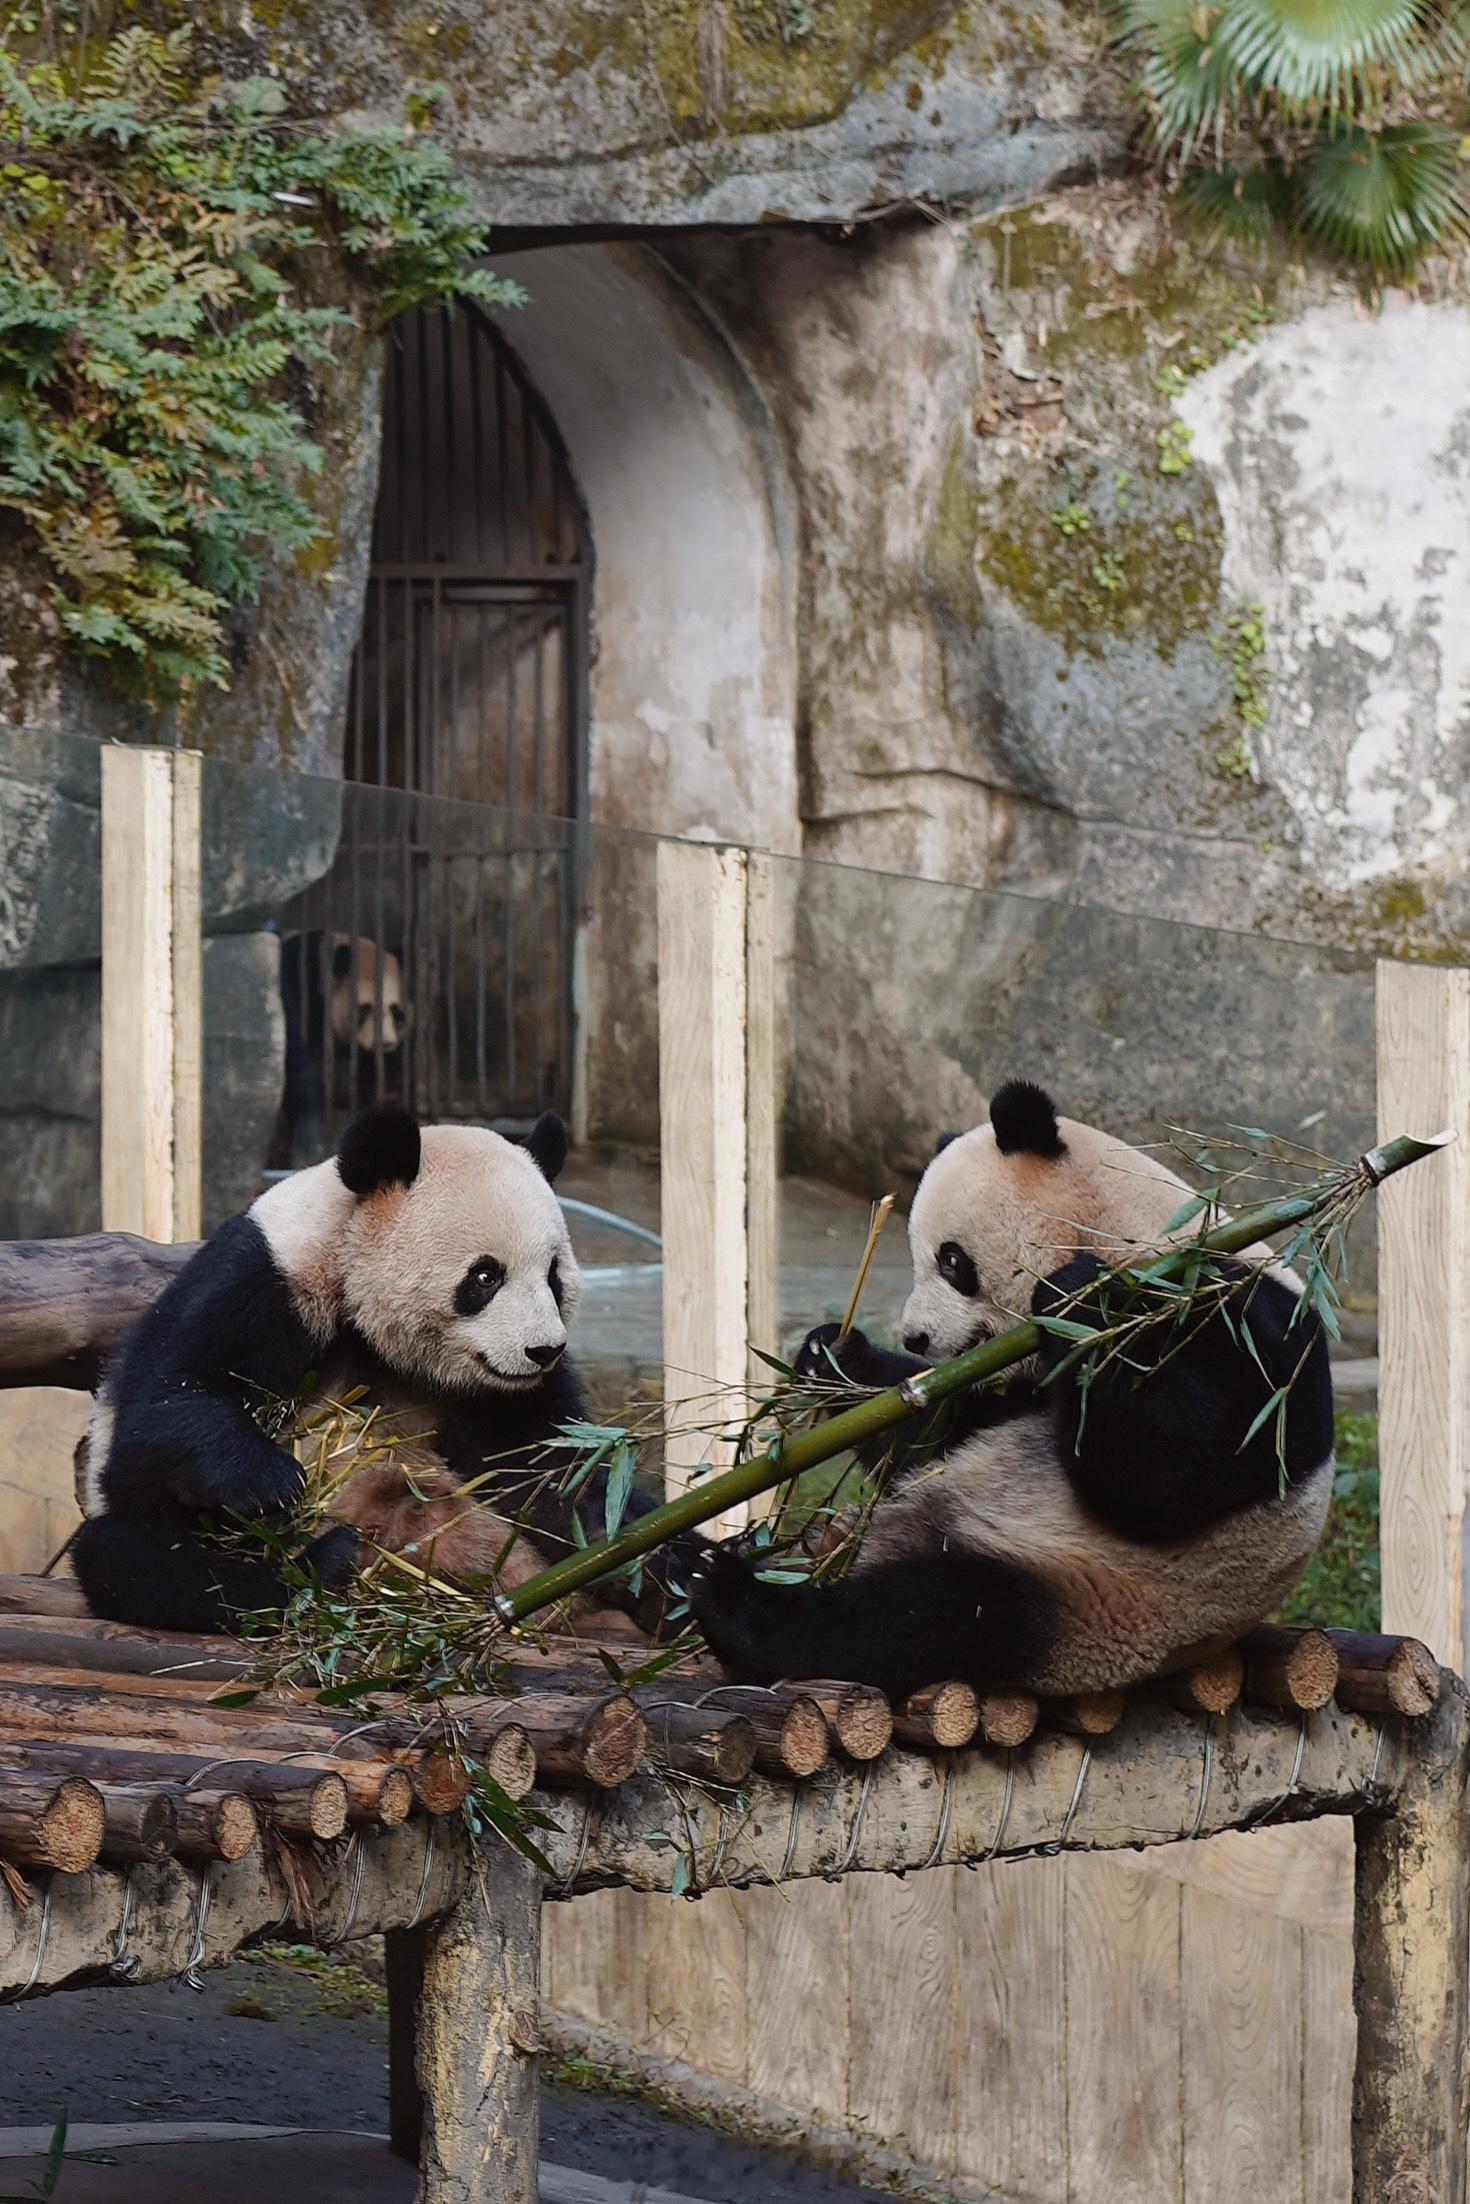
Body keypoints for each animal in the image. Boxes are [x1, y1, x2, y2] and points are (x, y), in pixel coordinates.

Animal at [71, 1102, 656, 1639]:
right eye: (485, 1276)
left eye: (553, 1275)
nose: (544, 1351)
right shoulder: (266, 1281)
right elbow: (163, 1411)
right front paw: (272, 1480)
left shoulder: (503, 1397)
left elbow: (552, 1469)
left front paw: (639, 1543)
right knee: (139, 1559)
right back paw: (322, 1565)